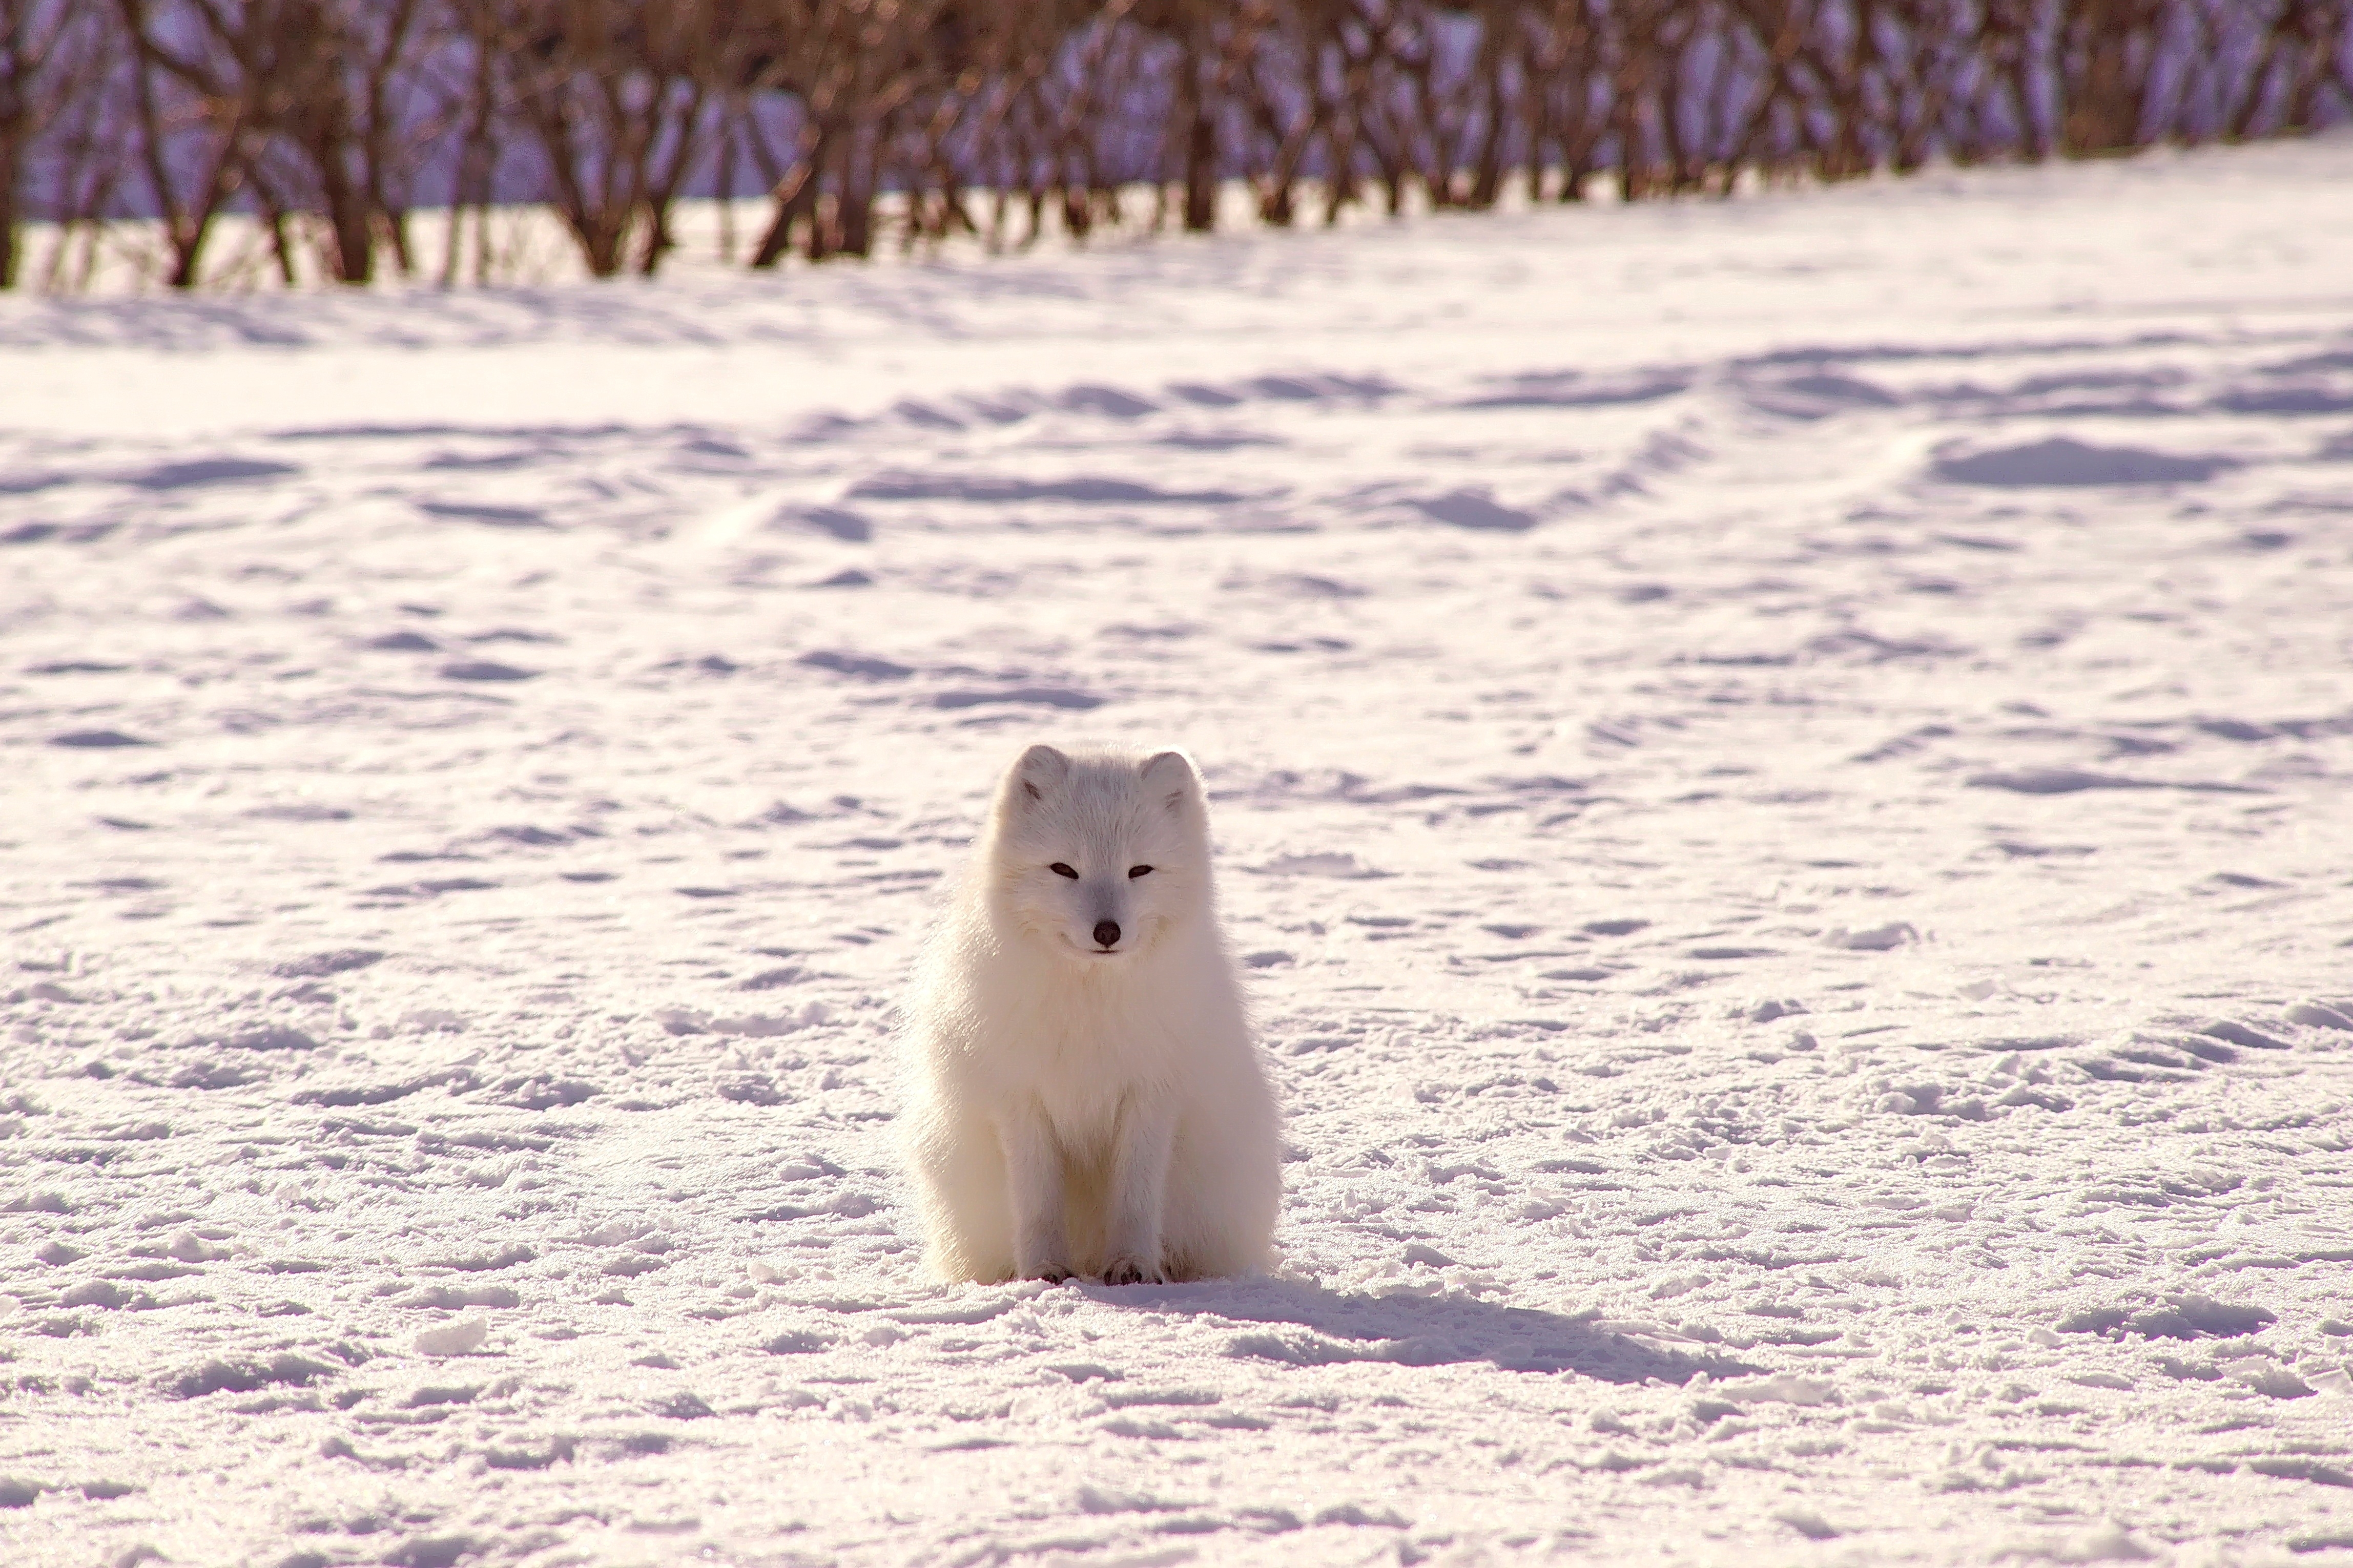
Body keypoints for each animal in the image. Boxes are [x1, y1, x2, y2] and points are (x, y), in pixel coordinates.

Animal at [899, 747, 1280, 1288]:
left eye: (1140, 870)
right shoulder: (1020, 1101)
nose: (1107, 931)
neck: (1089, 1003)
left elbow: (1136, 1197)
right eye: (1064, 869)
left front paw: (1134, 1265)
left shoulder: (1152, 1095)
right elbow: (1037, 1202)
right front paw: (1042, 1271)